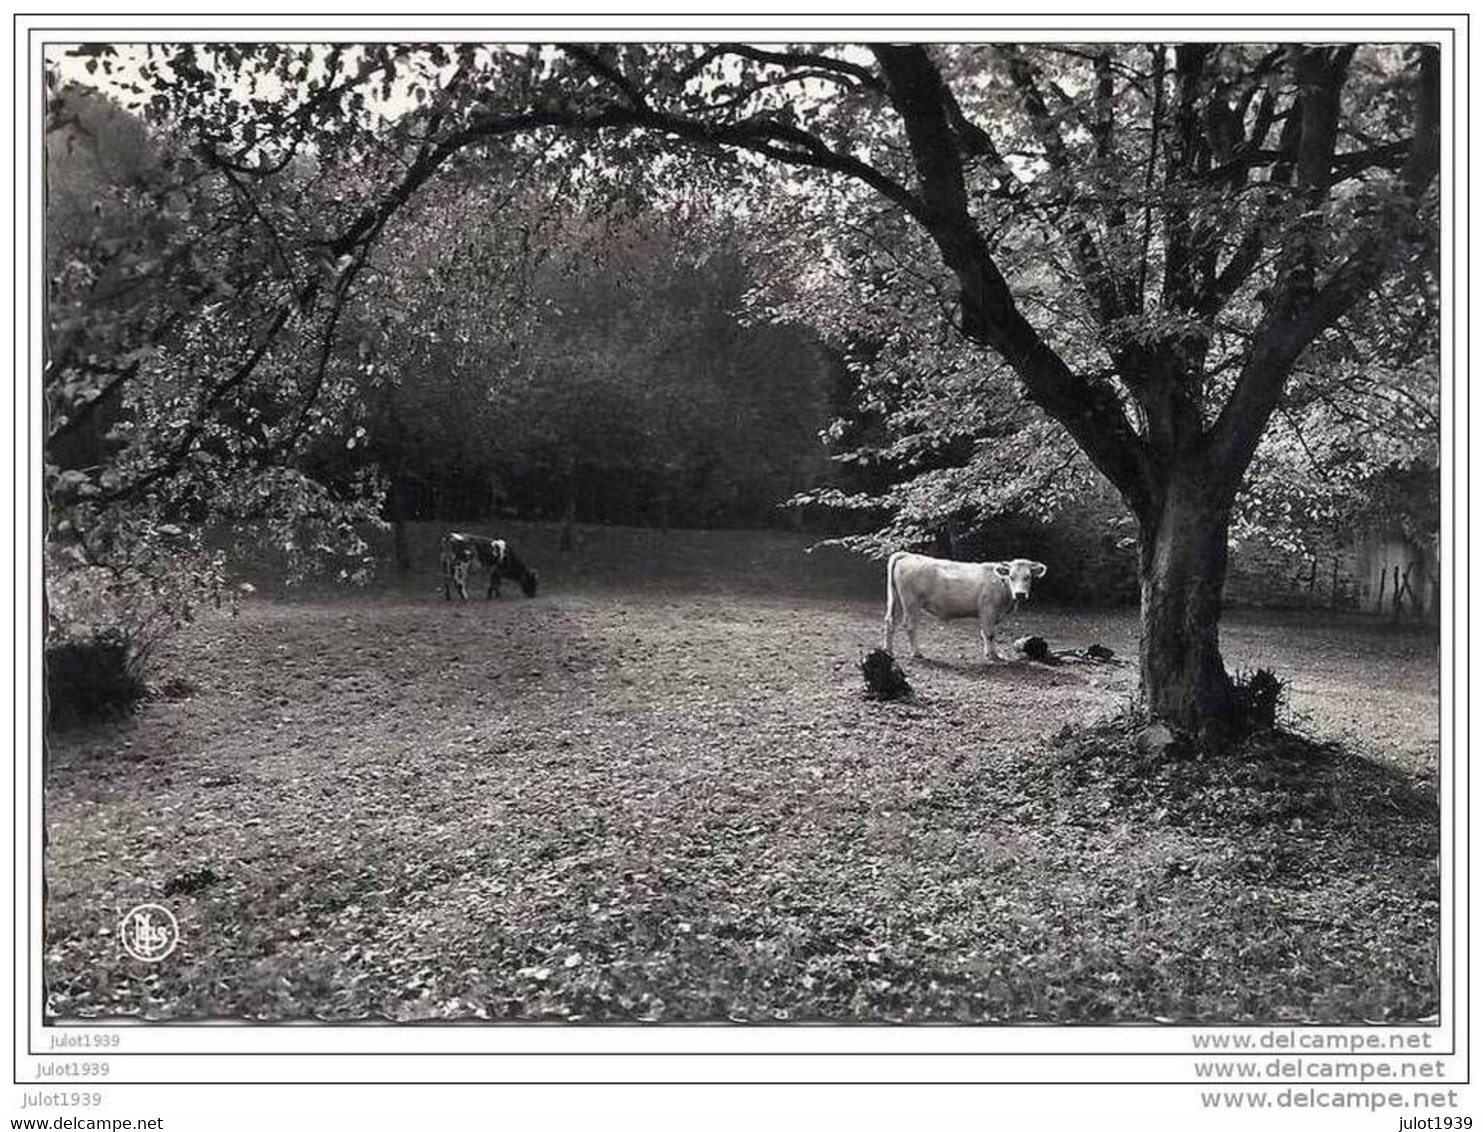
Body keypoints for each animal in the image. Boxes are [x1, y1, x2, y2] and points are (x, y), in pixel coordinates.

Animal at [883, 551, 1049, 658]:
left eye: (1028, 577)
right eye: (1011, 576)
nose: (1020, 594)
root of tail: (908, 555)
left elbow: (986, 633)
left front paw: (990, 652)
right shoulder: (988, 610)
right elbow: (989, 633)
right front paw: (992, 655)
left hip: (896, 599)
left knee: (889, 621)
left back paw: (888, 650)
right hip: (911, 603)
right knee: (910, 626)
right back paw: (916, 652)